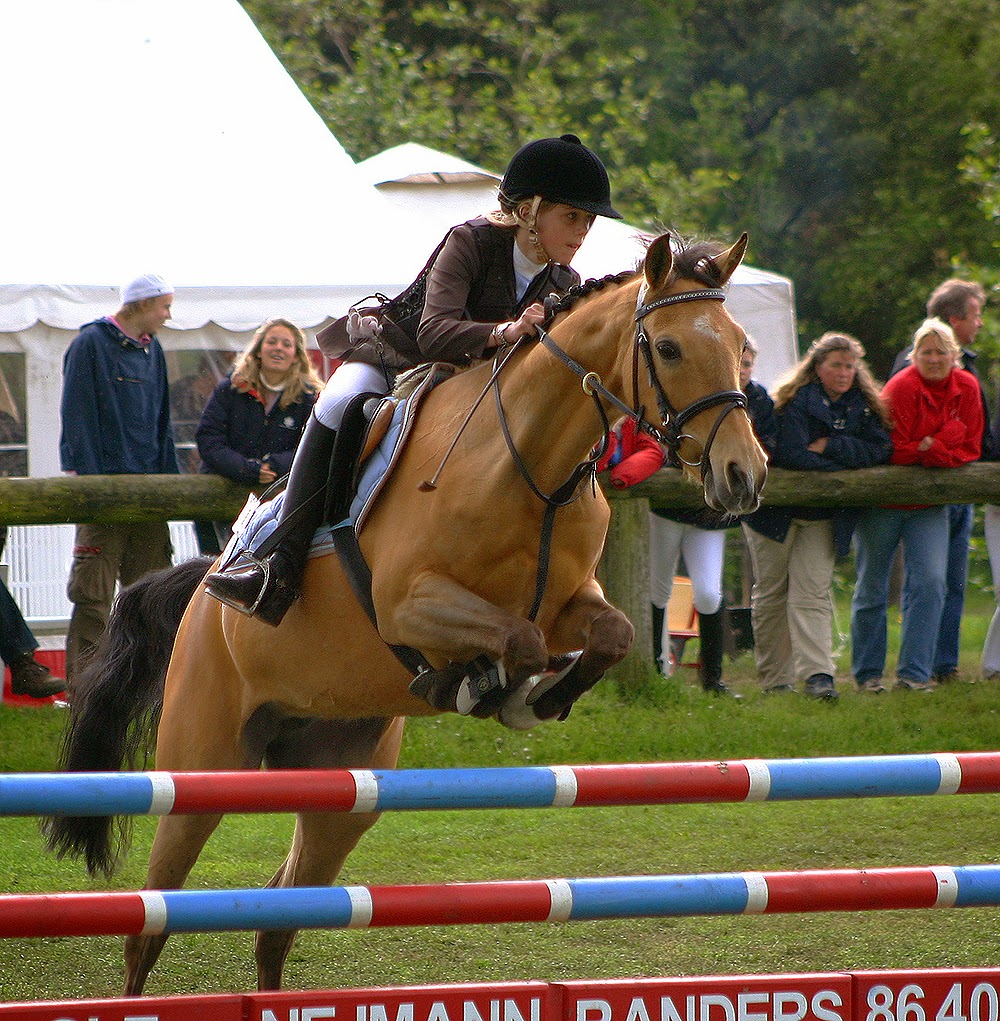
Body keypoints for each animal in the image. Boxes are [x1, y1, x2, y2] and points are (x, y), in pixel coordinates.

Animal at [45, 232, 767, 995]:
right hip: (201, 771)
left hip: (341, 785)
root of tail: (204, 591)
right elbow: (517, 639)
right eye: (669, 348)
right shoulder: (408, 606)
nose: (744, 475)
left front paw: (533, 697)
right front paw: (485, 686)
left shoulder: (568, 605)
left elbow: (612, 632)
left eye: (738, 342)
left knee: (278, 917)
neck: (528, 466)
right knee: (151, 922)